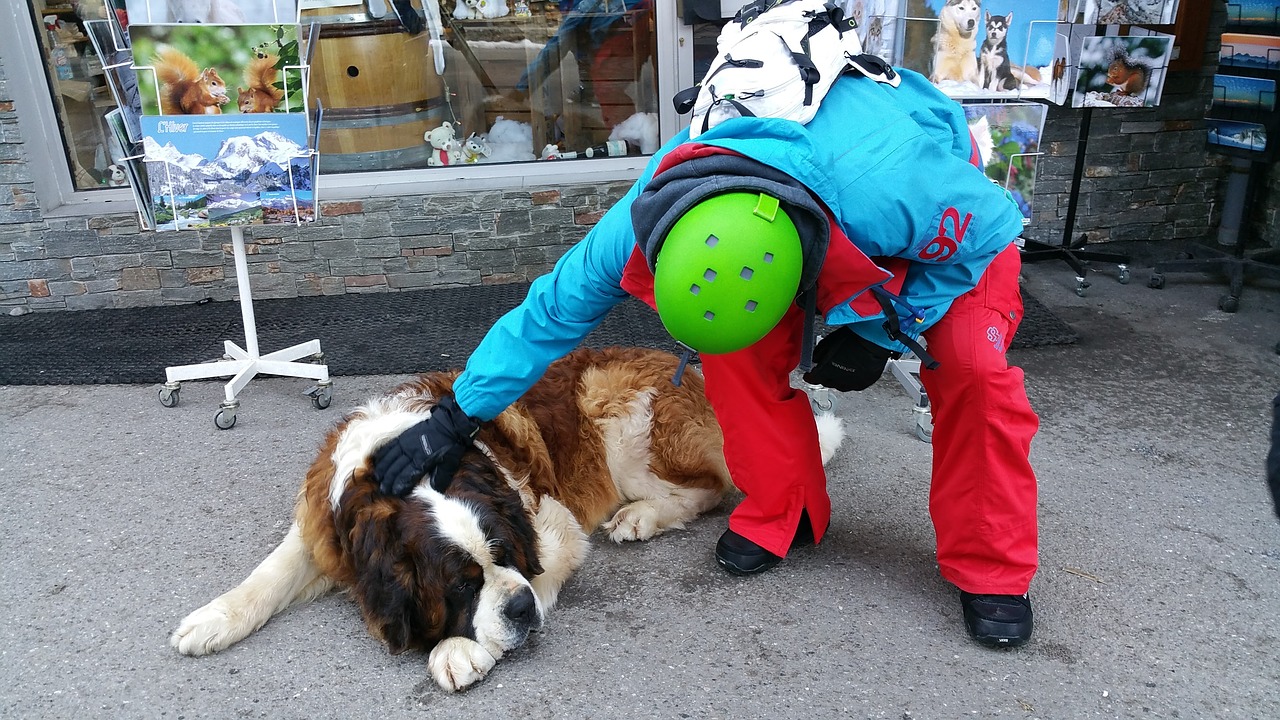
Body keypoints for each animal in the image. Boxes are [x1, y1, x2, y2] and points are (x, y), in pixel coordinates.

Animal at [172, 345, 849, 691]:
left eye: (501, 556)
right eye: (460, 584)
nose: (520, 610)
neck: (407, 466)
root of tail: (695, 372)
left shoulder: (550, 520)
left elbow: (543, 565)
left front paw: (461, 649)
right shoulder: (325, 527)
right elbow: (269, 573)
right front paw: (211, 619)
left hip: (614, 409)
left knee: (712, 489)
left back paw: (642, 516)